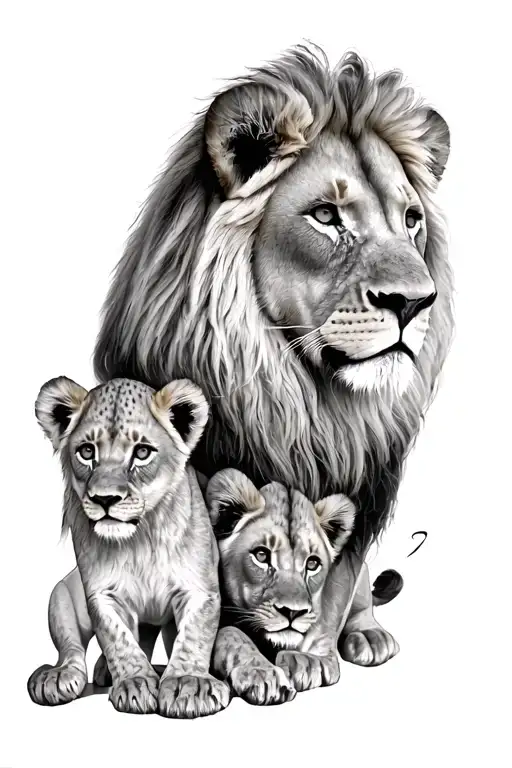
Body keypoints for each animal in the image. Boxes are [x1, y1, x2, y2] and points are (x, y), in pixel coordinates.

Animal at [28, 376, 230, 718]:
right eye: (86, 451)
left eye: (142, 452)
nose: (105, 499)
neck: (140, 540)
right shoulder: (100, 594)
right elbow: (118, 639)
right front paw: (135, 682)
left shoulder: (199, 589)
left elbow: (193, 636)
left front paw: (188, 683)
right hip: (61, 594)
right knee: (72, 648)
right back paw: (59, 676)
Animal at [93, 46, 453, 647]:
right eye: (326, 216)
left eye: (411, 221)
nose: (415, 302)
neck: (301, 403)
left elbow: (334, 586)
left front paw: (313, 655)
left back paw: (366, 635)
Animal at [207, 469, 401, 704]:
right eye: (261, 555)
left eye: (312, 563)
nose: (292, 612)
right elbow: (232, 634)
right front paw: (262, 674)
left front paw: (307, 661)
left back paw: (372, 637)